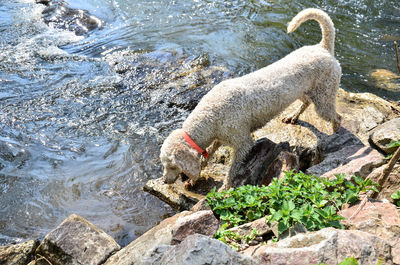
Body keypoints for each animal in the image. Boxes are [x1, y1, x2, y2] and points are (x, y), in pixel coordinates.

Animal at [159, 8, 340, 189]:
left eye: (172, 165)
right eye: (165, 165)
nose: (165, 180)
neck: (210, 116)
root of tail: (323, 47)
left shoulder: (243, 143)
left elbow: (232, 169)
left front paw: (225, 187)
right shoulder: (220, 137)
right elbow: (208, 152)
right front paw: (195, 176)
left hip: (324, 97)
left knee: (336, 117)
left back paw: (336, 133)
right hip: (303, 91)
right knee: (306, 102)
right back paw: (293, 117)